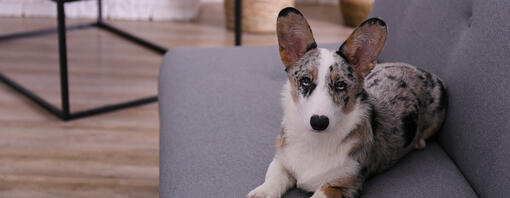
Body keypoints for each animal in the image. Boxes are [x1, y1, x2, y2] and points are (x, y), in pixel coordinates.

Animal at [246, 7, 446, 198]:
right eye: (305, 81)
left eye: (341, 85)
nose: (319, 122)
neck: (315, 141)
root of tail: (423, 71)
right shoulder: (282, 161)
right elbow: (274, 178)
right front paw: (262, 192)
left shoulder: (342, 185)